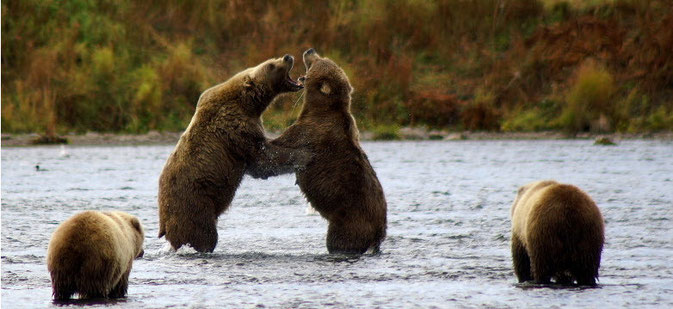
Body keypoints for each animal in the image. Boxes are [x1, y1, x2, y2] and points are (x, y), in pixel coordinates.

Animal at [158, 54, 308, 251]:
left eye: (273, 60)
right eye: (271, 65)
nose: (288, 57)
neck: (248, 103)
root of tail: (163, 220)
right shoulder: (235, 130)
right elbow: (262, 159)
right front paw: (304, 154)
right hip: (193, 204)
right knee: (203, 234)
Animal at [268, 49, 384, 254]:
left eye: (319, 61)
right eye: (324, 58)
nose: (310, 51)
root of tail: (378, 232)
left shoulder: (309, 131)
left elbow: (282, 147)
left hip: (349, 222)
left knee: (338, 240)